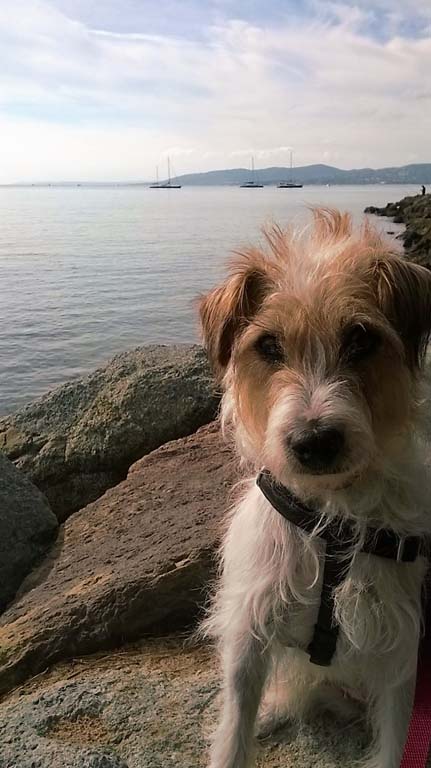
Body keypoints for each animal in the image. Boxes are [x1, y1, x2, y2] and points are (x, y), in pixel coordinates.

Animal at [199, 209, 431, 768]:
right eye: (268, 346)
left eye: (361, 339)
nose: (314, 441)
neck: (333, 520)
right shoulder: (249, 626)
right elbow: (235, 722)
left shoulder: (401, 650)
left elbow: (395, 739)